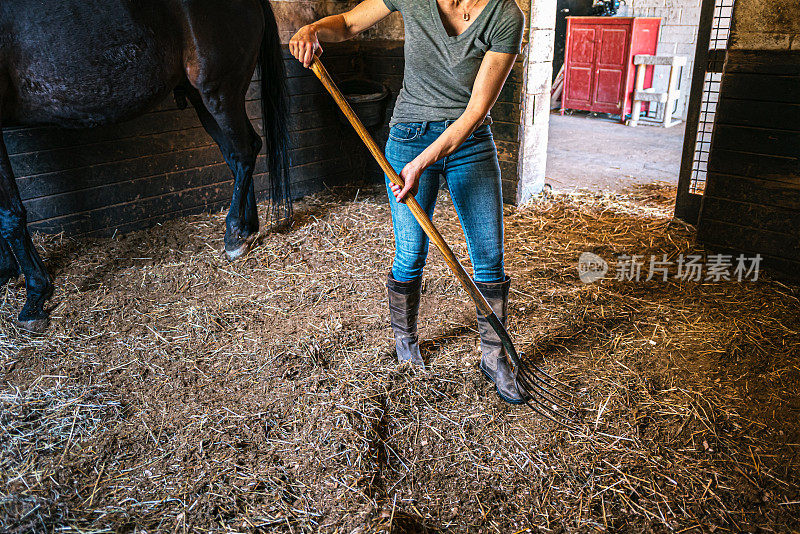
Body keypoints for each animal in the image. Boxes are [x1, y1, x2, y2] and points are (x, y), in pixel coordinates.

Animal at [0, 1, 290, 330]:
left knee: (243, 152)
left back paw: (233, 235)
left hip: (219, 92)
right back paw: (247, 227)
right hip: (202, 95)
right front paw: (7, 271)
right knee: (237, 154)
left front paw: (35, 297)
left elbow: (9, 215)